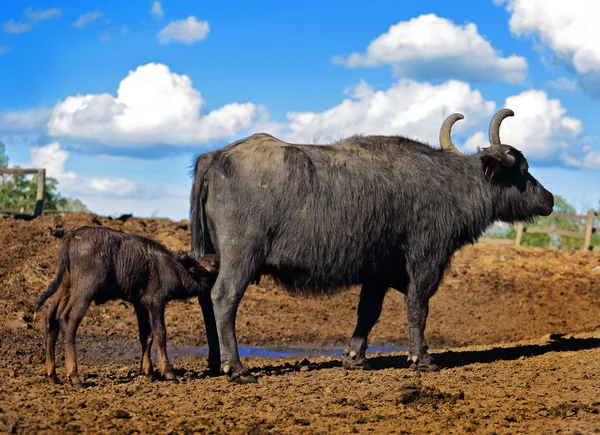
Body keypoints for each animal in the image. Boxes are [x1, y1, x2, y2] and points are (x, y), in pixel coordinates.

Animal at [33, 227, 220, 386]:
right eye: (215, 265)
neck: (175, 269)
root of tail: (72, 235)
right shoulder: (155, 301)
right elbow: (160, 333)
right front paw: (168, 373)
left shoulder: (140, 304)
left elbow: (146, 335)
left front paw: (147, 372)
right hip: (84, 289)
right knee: (68, 319)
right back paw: (74, 377)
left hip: (65, 286)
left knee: (51, 318)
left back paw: (51, 374)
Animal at [191, 109, 552, 384]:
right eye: (523, 169)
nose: (548, 199)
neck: (451, 186)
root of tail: (216, 157)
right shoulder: (426, 260)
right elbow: (417, 308)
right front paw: (422, 359)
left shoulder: (377, 271)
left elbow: (368, 311)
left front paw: (354, 357)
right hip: (240, 257)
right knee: (223, 298)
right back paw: (236, 368)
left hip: (212, 256)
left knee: (206, 299)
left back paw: (214, 362)